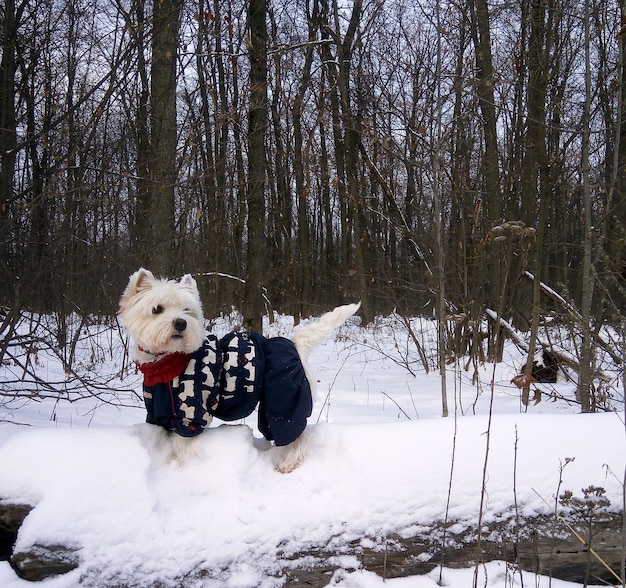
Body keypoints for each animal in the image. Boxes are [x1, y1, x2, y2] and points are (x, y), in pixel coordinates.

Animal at [119, 268, 358, 470]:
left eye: (187, 310)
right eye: (157, 309)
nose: (181, 322)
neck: (166, 361)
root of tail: (293, 344)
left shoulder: (192, 413)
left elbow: (182, 445)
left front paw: (181, 467)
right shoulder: (157, 413)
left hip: (285, 400)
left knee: (296, 434)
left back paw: (287, 464)